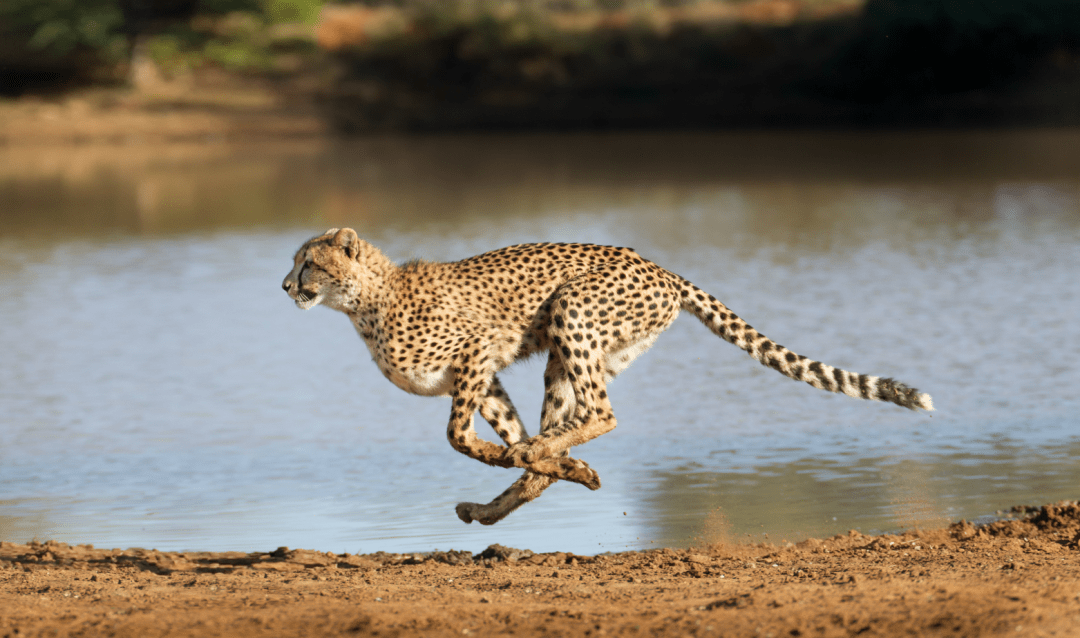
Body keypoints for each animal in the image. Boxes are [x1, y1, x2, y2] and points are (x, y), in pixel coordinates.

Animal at [282, 226, 933, 526]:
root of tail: (659, 266)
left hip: (572, 310)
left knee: (603, 413)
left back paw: (539, 462)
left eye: (309, 262)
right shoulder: (484, 374)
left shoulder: (478, 349)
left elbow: (458, 436)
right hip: (573, 354)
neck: (363, 303)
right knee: (574, 423)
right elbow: (508, 435)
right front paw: (549, 466)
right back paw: (519, 491)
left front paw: (515, 456)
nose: (286, 285)